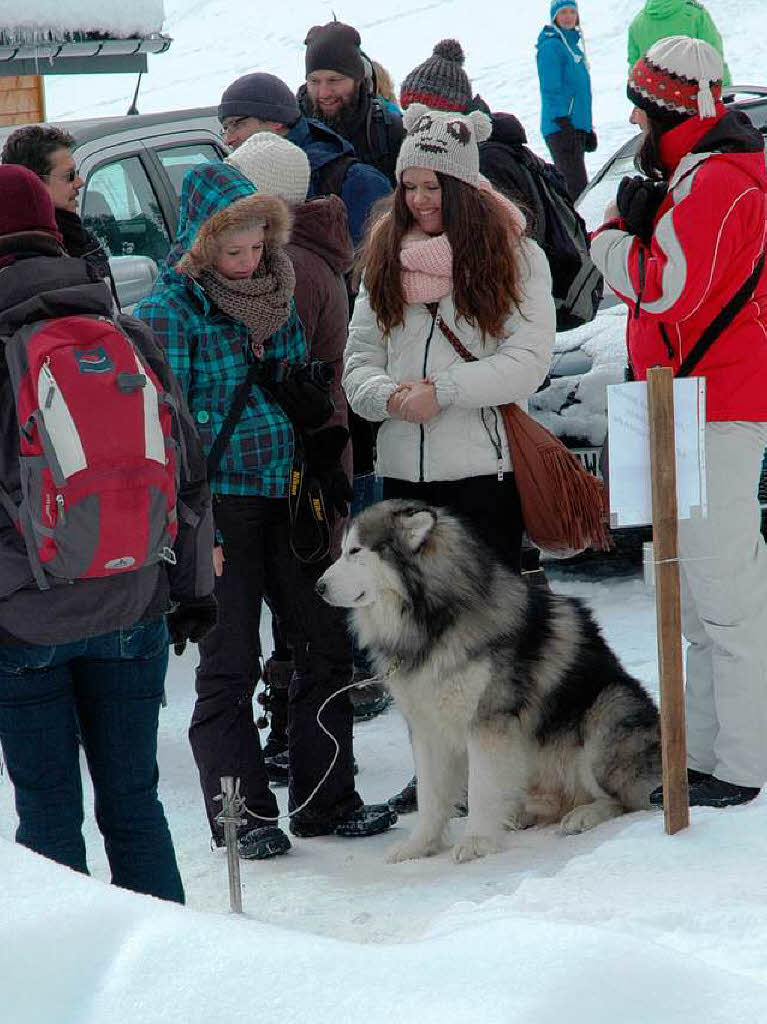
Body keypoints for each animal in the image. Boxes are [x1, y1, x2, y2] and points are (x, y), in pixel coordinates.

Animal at [313, 501, 659, 864]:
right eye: (341, 550)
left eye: (354, 551)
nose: (318, 587)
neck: (434, 624)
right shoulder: (426, 728)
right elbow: (430, 796)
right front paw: (420, 845)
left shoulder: (487, 724)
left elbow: (481, 787)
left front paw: (477, 840)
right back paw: (524, 813)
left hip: (607, 711)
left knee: (627, 799)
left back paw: (585, 814)